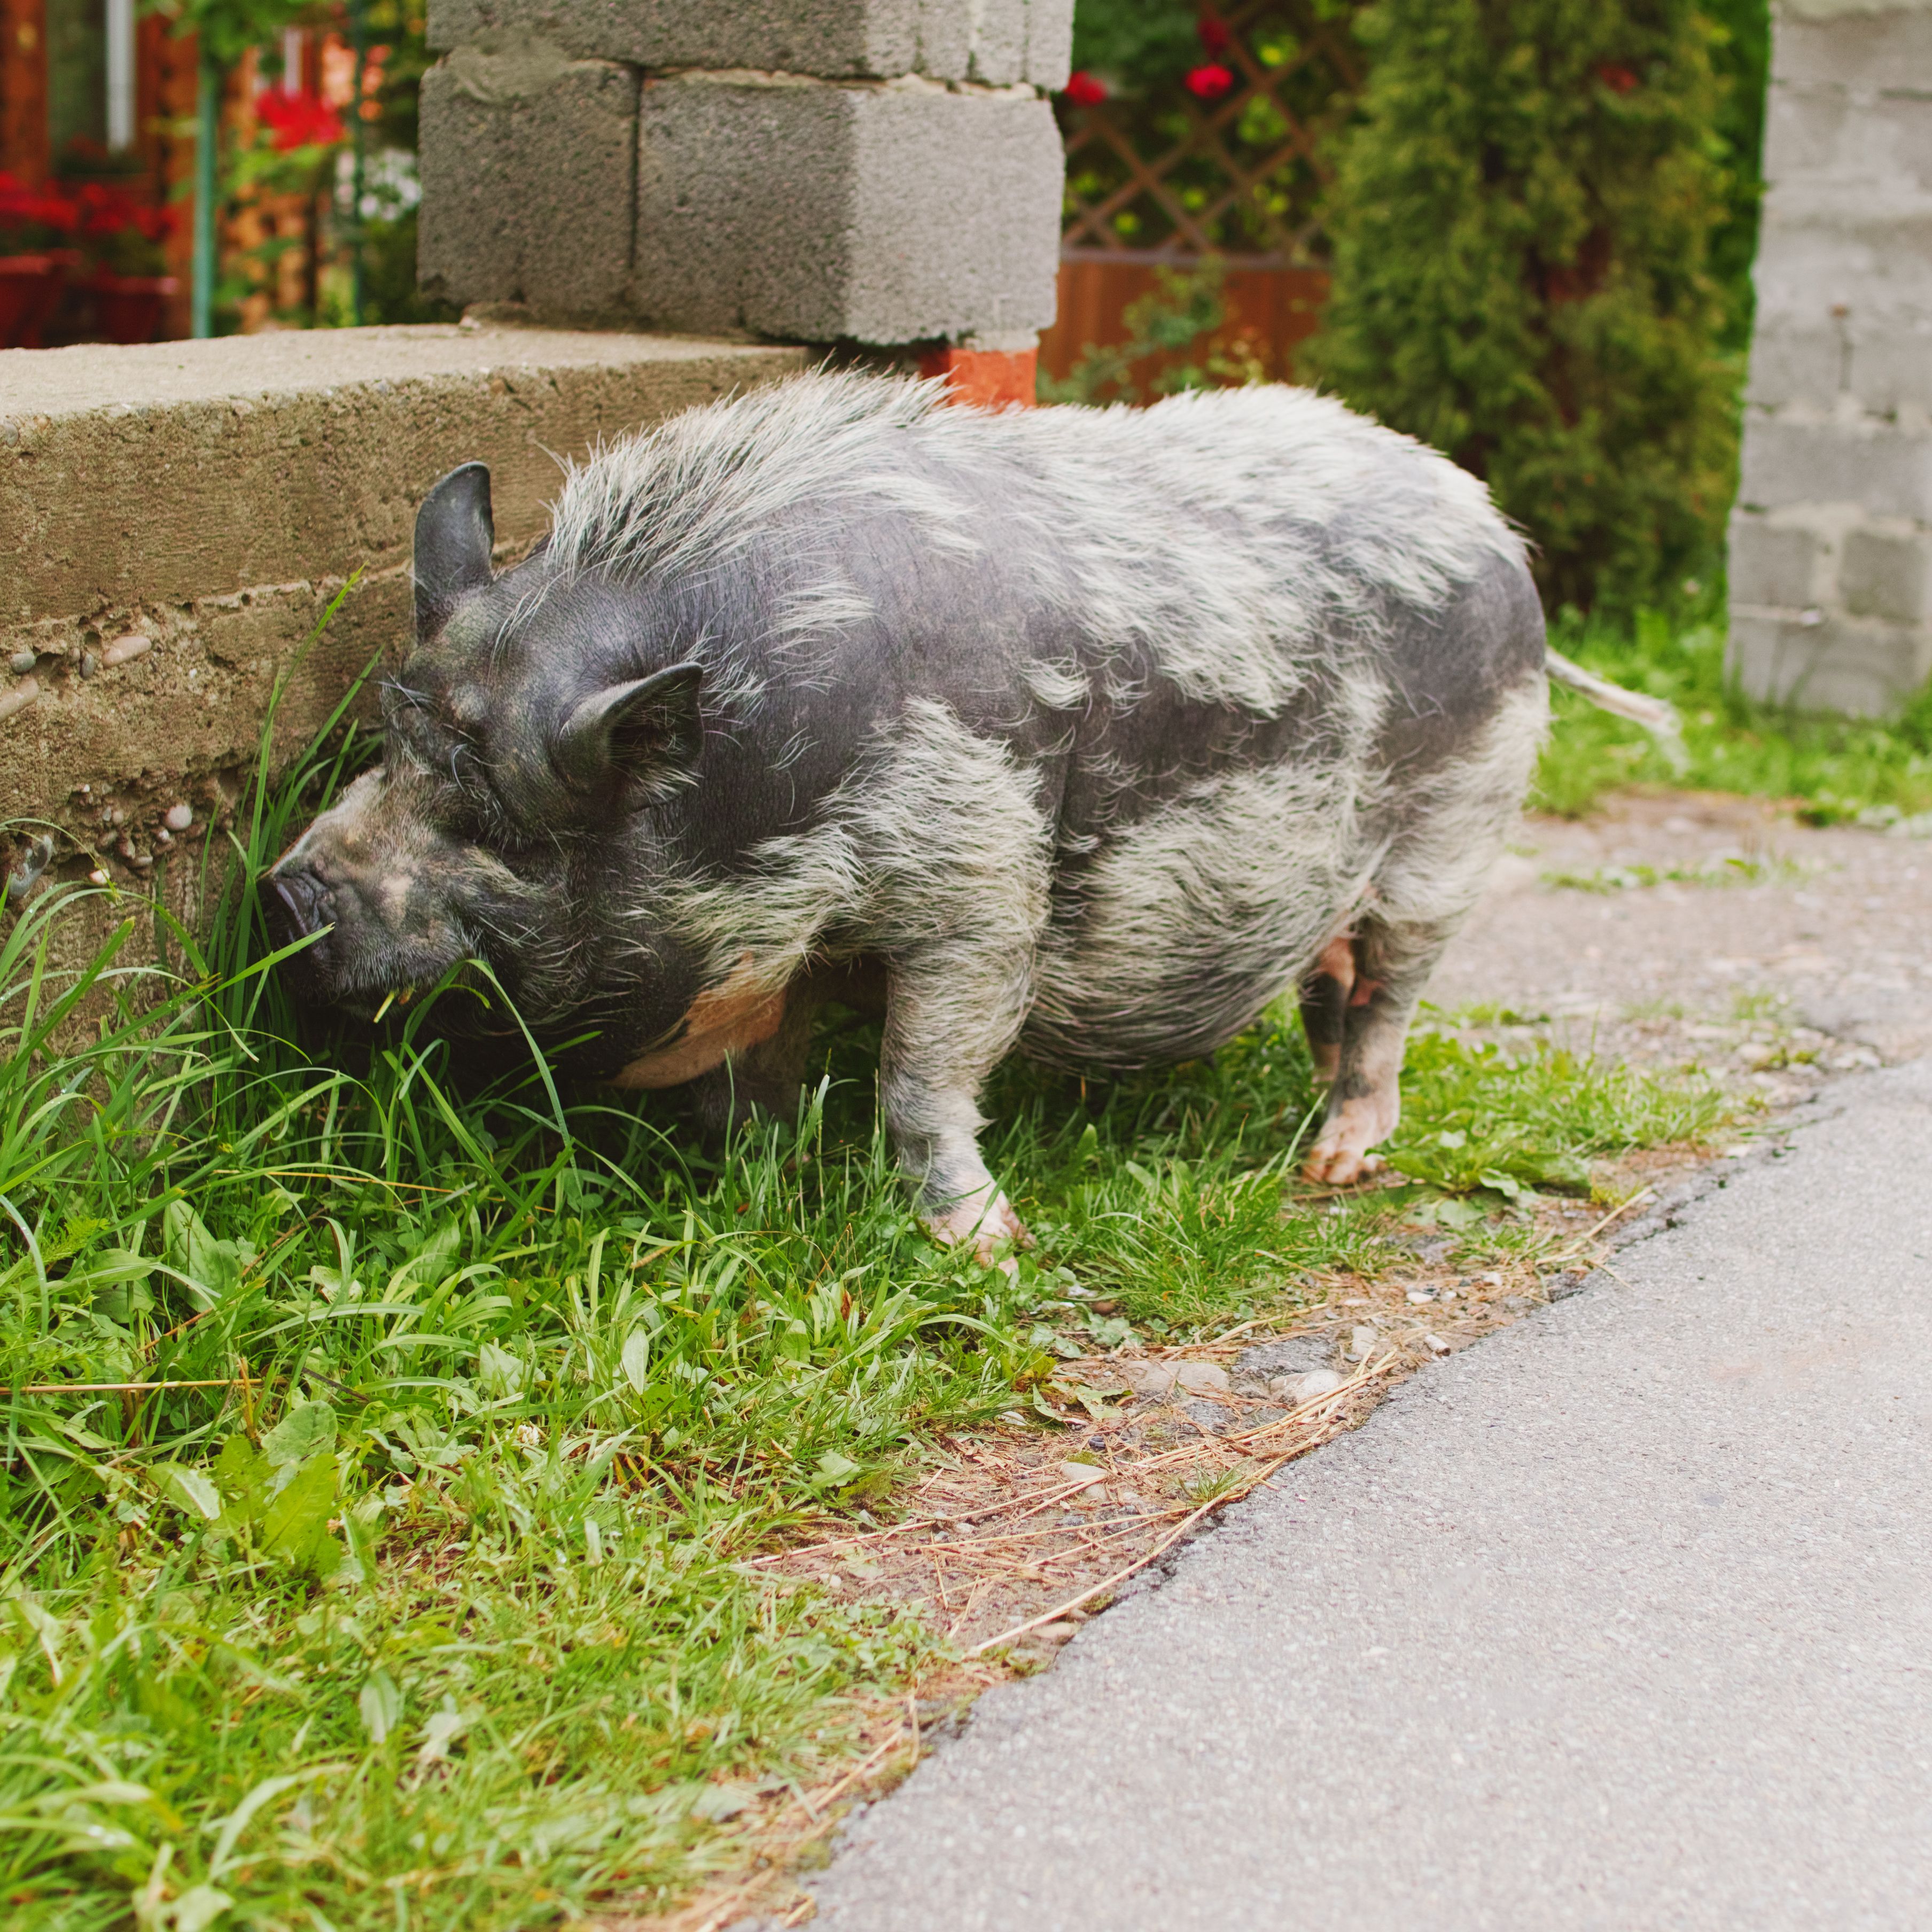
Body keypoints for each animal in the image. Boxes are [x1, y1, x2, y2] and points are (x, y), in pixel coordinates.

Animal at [268, 372, 1674, 1263]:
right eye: (385, 747)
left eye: (495, 821)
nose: (287, 888)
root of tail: (1491, 528)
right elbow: (749, 1081)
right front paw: (757, 1182)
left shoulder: (978, 879)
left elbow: (923, 1068)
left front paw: (983, 1245)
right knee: (1331, 985)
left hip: (1455, 823)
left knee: (1388, 996)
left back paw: (1333, 1164)